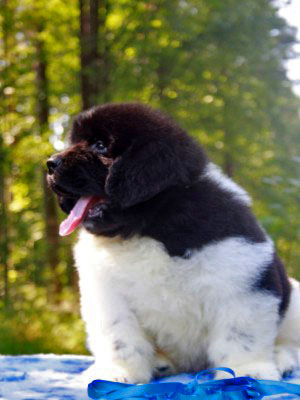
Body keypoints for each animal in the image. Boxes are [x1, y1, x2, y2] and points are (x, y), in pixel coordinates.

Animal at [47, 102, 300, 382]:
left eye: (100, 145)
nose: (50, 163)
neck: (147, 226)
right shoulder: (106, 293)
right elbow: (120, 338)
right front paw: (118, 372)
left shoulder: (240, 273)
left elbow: (240, 334)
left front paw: (247, 371)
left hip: (294, 302)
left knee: (289, 343)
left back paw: (281, 359)